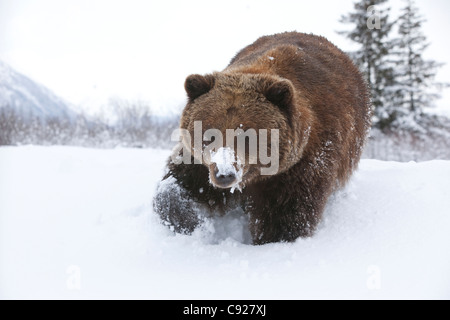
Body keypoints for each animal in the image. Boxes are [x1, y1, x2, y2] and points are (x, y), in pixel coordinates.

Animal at [153, 31, 370, 244]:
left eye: (247, 136)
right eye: (209, 134)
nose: (225, 174)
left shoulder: (301, 167)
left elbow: (284, 216)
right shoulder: (200, 162)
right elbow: (177, 184)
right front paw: (191, 222)